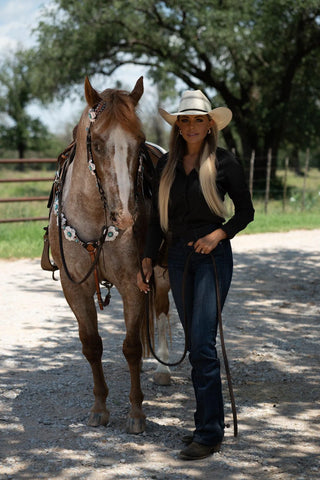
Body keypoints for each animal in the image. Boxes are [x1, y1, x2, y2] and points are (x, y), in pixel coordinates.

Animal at [45, 77, 172, 434]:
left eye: (138, 141)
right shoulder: (75, 288)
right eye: (98, 144)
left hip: (162, 275)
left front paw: (136, 413)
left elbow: (130, 347)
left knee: (162, 313)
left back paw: (163, 370)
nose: (125, 216)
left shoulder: (133, 283)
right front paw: (99, 408)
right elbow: (91, 344)